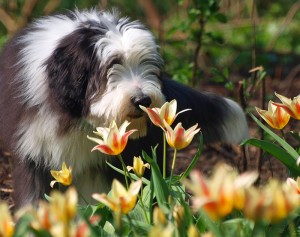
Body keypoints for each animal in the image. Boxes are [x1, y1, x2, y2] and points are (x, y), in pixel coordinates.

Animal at [0, 9, 248, 207]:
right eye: (112, 65)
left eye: (147, 64)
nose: (143, 100)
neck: (80, 120)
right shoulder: (34, 153)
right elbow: (33, 198)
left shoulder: (124, 156)